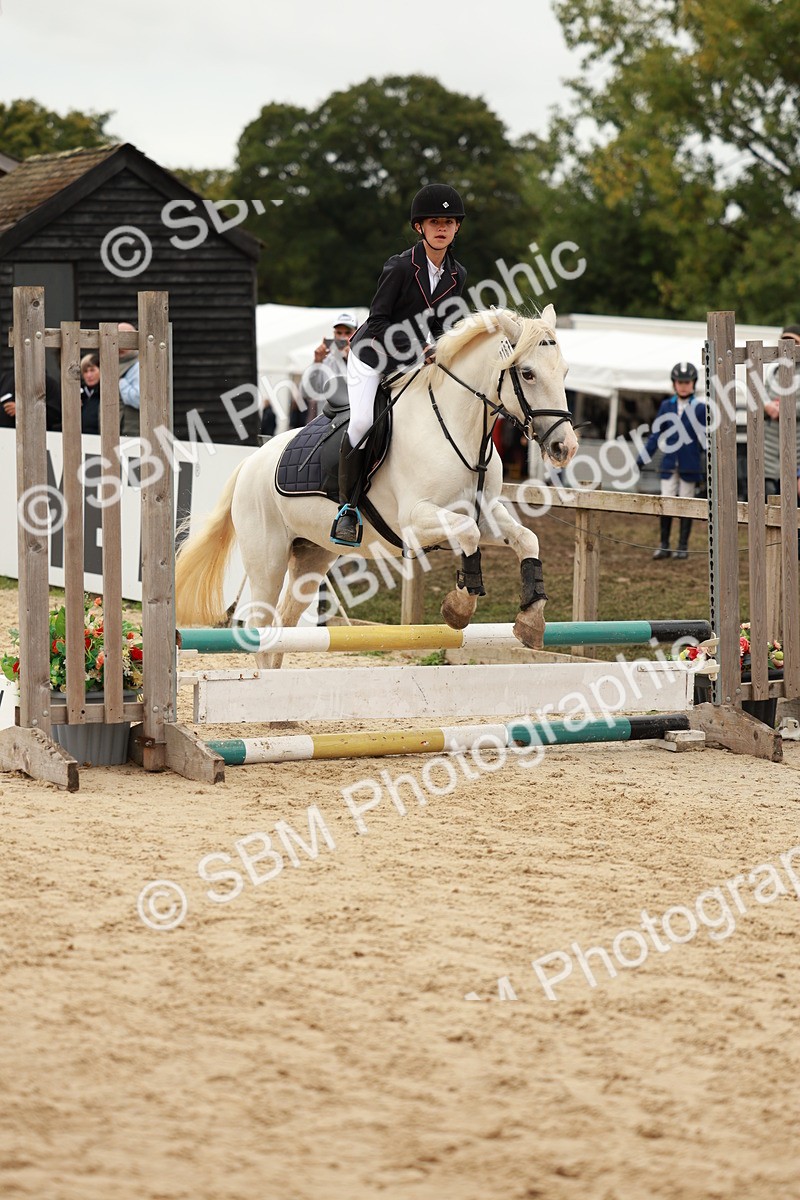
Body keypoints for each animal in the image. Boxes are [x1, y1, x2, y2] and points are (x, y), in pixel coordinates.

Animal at [175, 305, 579, 667]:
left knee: (285, 625)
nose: (566, 447)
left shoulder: (485, 512)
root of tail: (251, 461)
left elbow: (526, 539)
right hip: (267, 559)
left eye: (564, 372)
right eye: (527, 373)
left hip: (311, 555)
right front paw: (459, 608)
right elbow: (468, 534)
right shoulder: (416, 520)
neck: (458, 429)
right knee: (262, 626)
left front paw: (531, 620)